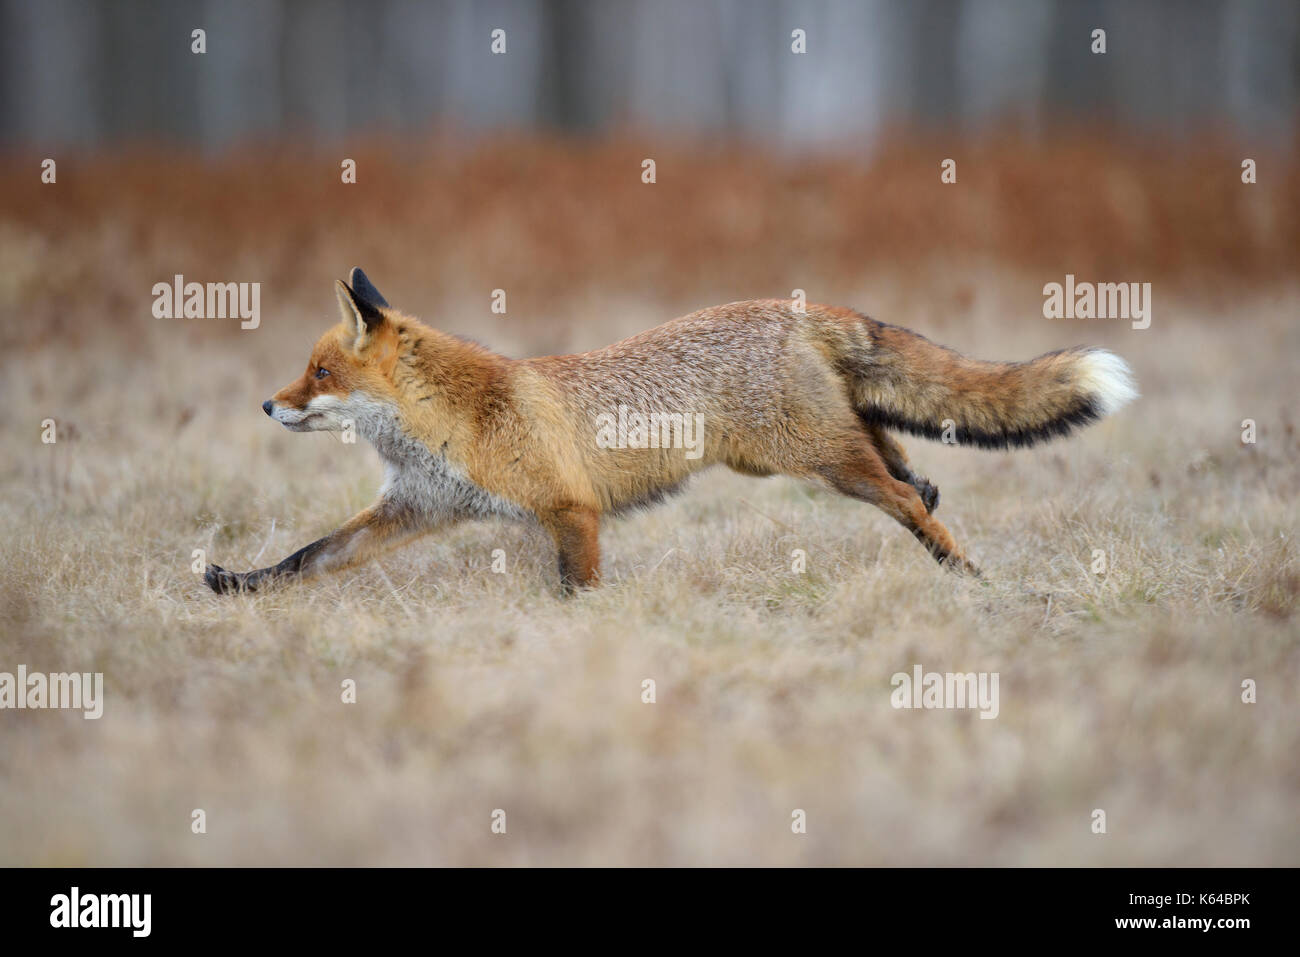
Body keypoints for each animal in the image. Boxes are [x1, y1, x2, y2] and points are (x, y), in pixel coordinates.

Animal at [197, 269, 1133, 595]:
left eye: (318, 373)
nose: (267, 406)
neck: (455, 420)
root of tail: (795, 304)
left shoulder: (572, 512)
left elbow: (576, 592)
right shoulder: (415, 508)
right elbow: (309, 555)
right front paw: (234, 584)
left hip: (815, 461)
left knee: (904, 496)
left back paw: (963, 571)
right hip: (805, 449)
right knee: (900, 453)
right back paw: (931, 496)